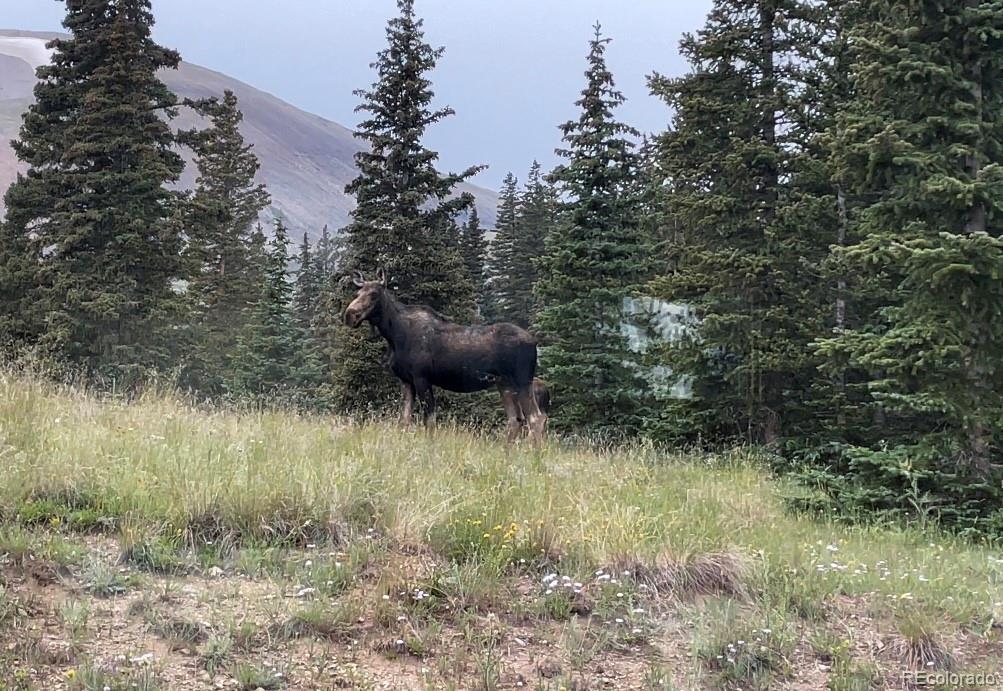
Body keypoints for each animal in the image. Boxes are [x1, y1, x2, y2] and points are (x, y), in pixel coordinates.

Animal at [345, 268, 549, 441]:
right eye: (357, 294)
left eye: (374, 294)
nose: (350, 315)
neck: (394, 335)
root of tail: (534, 342)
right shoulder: (405, 380)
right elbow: (403, 421)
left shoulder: (422, 377)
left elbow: (429, 421)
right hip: (504, 384)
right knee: (516, 420)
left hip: (522, 380)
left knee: (535, 418)